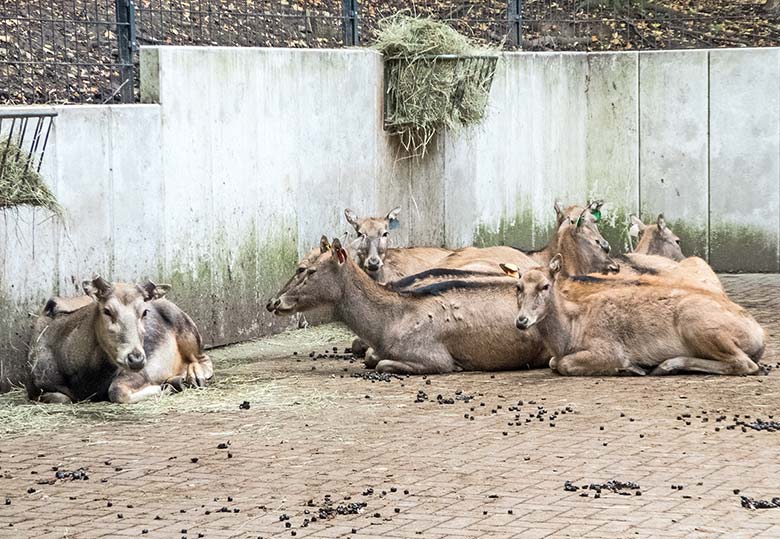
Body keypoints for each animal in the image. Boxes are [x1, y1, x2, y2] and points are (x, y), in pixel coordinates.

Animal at [27, 276, 212, 402]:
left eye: (144, 311)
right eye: (107, 310)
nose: (136, 359)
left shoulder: (141, 372)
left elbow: (116, 391)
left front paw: (166, 387)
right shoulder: (34, 389)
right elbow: (62, 398)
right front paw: (170, 384)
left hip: (186, 328)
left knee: (204, 359)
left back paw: (194, 376)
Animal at [502, 256, 764, 376]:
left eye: (545, 286)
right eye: (518, 287)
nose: (521, 321)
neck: (571, 333)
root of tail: (760, 335)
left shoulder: (608, 348)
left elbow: (564, 364)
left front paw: (628, 366)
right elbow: (553, 362)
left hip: (697, 322)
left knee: (744, 363)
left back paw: (664, 365)